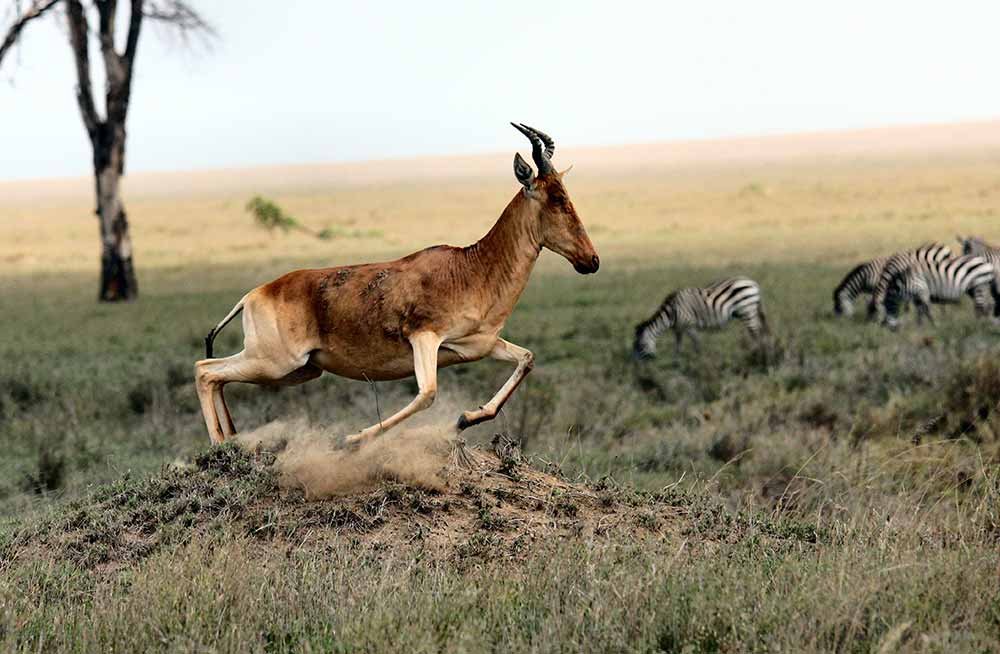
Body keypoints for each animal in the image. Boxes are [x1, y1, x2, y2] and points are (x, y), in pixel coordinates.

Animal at [632, 276, 764, 358]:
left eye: (640, 345)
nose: (635, 365)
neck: (671, 314)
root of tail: (753, 283)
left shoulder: (689, 325)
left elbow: (696, 343)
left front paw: (699, 360)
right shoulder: (678, 329)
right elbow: (678, 347)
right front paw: (676, 362)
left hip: (747, 310)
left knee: (756, 332)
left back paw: (757, 353)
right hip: (748, 311)